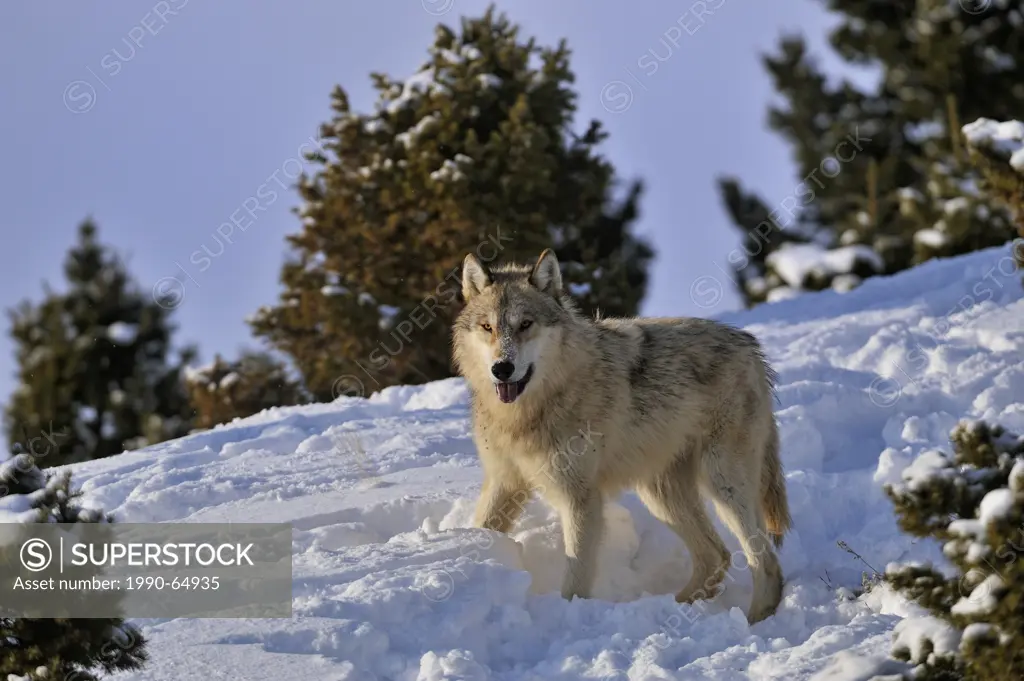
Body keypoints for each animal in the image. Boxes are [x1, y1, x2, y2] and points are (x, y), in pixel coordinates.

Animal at [452, 248, 794, 622]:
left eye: (525, 324)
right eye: (488, 327)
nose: (502, 368)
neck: (527, 414)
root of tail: (750, 345)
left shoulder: (579, 497)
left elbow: (576, 576)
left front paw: (570, 615)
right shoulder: (504, 482)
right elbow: (485, 526)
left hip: (723, 485)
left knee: (764, 561)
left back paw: (754, 621)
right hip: (661, 494)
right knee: (716, 556)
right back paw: (674, 607)